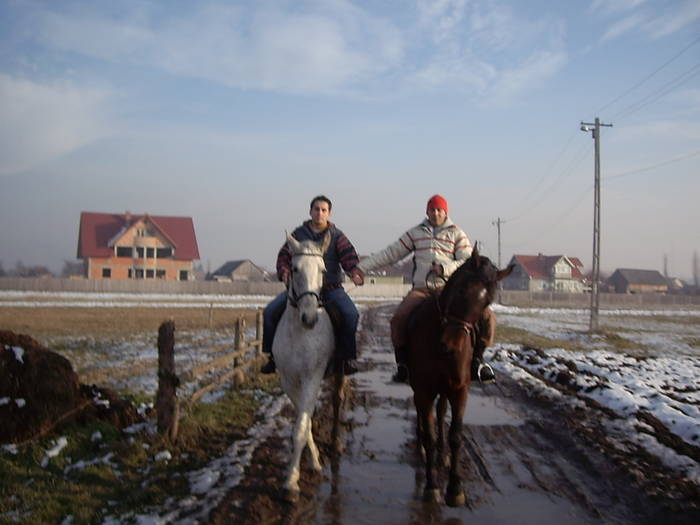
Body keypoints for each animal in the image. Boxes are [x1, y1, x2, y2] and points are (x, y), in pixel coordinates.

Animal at [404, 248, 516, 506]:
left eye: (487, 302)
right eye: (462, 290)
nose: (451, 345)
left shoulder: (459, 389)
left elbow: (456, 435)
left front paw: (455, 488)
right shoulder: (423, 390)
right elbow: (429, 435)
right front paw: (432, 486)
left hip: (446, 389)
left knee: (441, 412)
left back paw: (442, 455)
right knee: (424, 417)